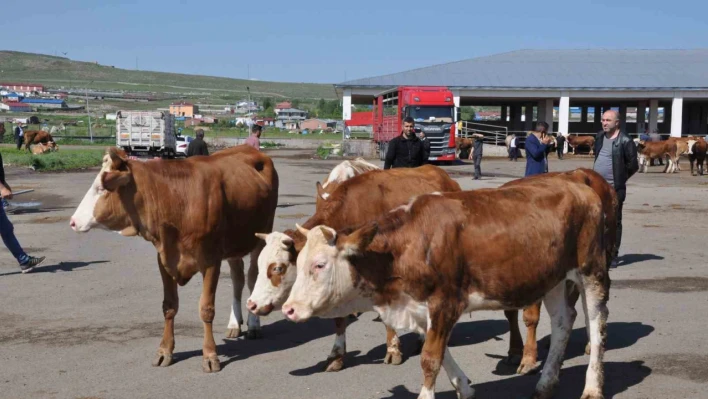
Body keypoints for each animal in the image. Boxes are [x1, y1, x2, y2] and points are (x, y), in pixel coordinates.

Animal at [70, 147, 280, 376]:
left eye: (100, 189)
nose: (73, 221)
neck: (176, 198)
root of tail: (249, 149)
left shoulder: (211, 260)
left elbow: (206, 309)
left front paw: (210, 355)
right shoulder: (164, 259)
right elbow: (169, 306)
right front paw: (164, 351)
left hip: (261, 234)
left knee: (251, 278)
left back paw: (253, 325)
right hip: (234, 244)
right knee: (237, 280)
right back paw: (234, 324)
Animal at [246, 164, 462, 374]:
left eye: (278, 268)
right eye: (259, 265)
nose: (251, 304)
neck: (351, 212)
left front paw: (393, 350)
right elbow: (339, 320)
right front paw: (337, 355)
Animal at [282, 174, 608, 399]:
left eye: (319, 265)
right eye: (298, 263)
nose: (289, 309)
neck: (409, 244)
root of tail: (577, 183)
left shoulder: (446, 301)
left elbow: (430, 359)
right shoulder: (421, 305)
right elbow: (440, 352)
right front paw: (464, 387)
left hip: (591, 269)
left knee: (596, 323)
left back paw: (592, 387)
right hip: (553, 277)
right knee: (564, 322)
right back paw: (545, 384)